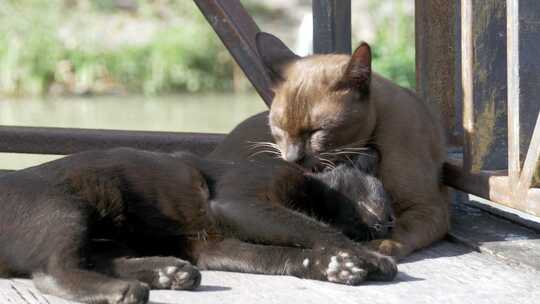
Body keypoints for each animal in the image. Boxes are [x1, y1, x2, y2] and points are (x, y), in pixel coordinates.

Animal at [0, 146, 396, 302]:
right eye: (382, 196)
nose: (390, 224)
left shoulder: (213, 246)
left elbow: (279, 256)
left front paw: (332, 265)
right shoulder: (241, 203)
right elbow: (317, 228)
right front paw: (372, 259)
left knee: (97, 260)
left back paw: (170, 272)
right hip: (66, 208)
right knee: (52, 272)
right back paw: (128, 290)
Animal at [209, 32, 450, 258]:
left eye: (317, 131)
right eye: (280, 129)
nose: (292, 158)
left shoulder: (428, 207)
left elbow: (398, 228)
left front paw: (375, 246)